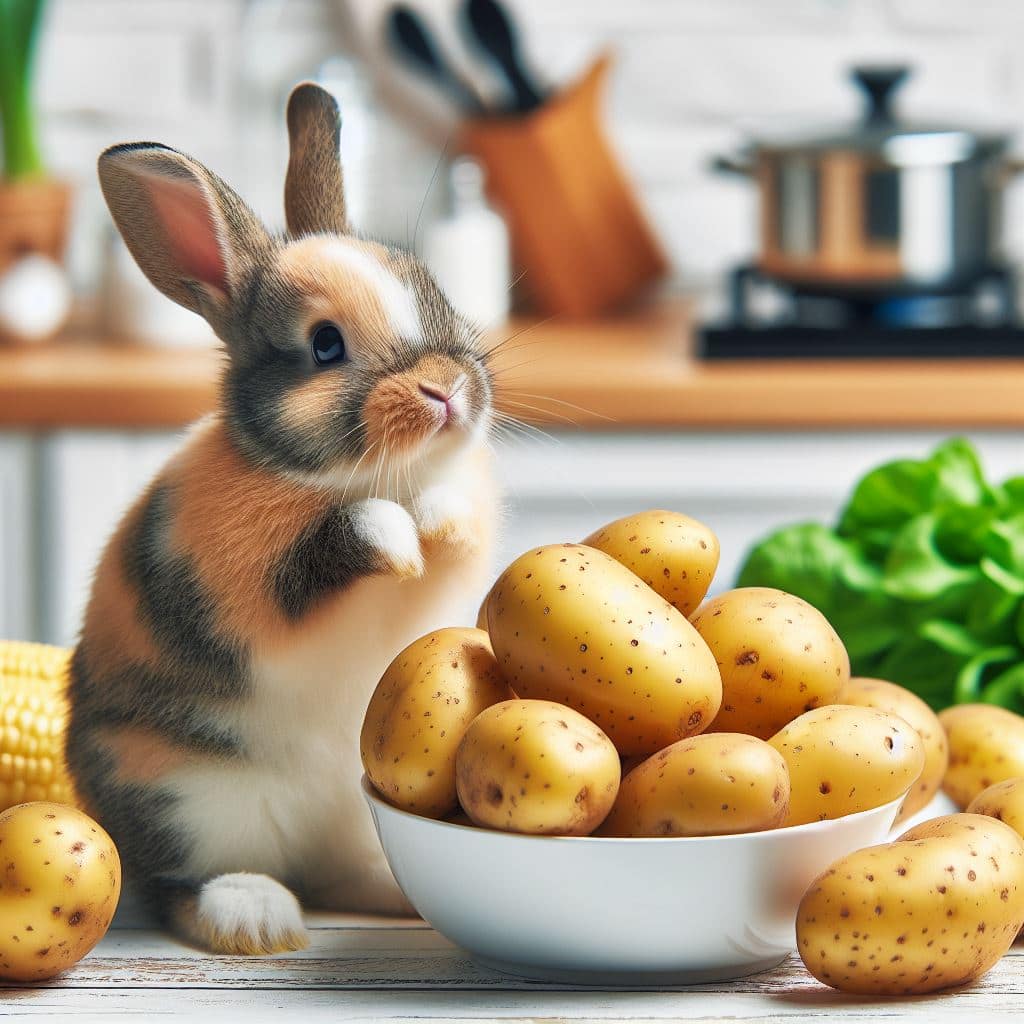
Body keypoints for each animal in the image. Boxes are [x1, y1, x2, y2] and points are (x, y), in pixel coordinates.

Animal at [66, 82, 499, 956]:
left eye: (434, 292)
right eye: (325, 345)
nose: (446, 390)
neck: (348, 476)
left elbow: (452, 526)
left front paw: (435, 521)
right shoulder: (250, 586)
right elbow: (338, 545)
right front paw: (395, 537)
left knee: (342, 875)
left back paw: (390, 892)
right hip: (182, 797)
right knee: (179, 888)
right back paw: (254, 915)